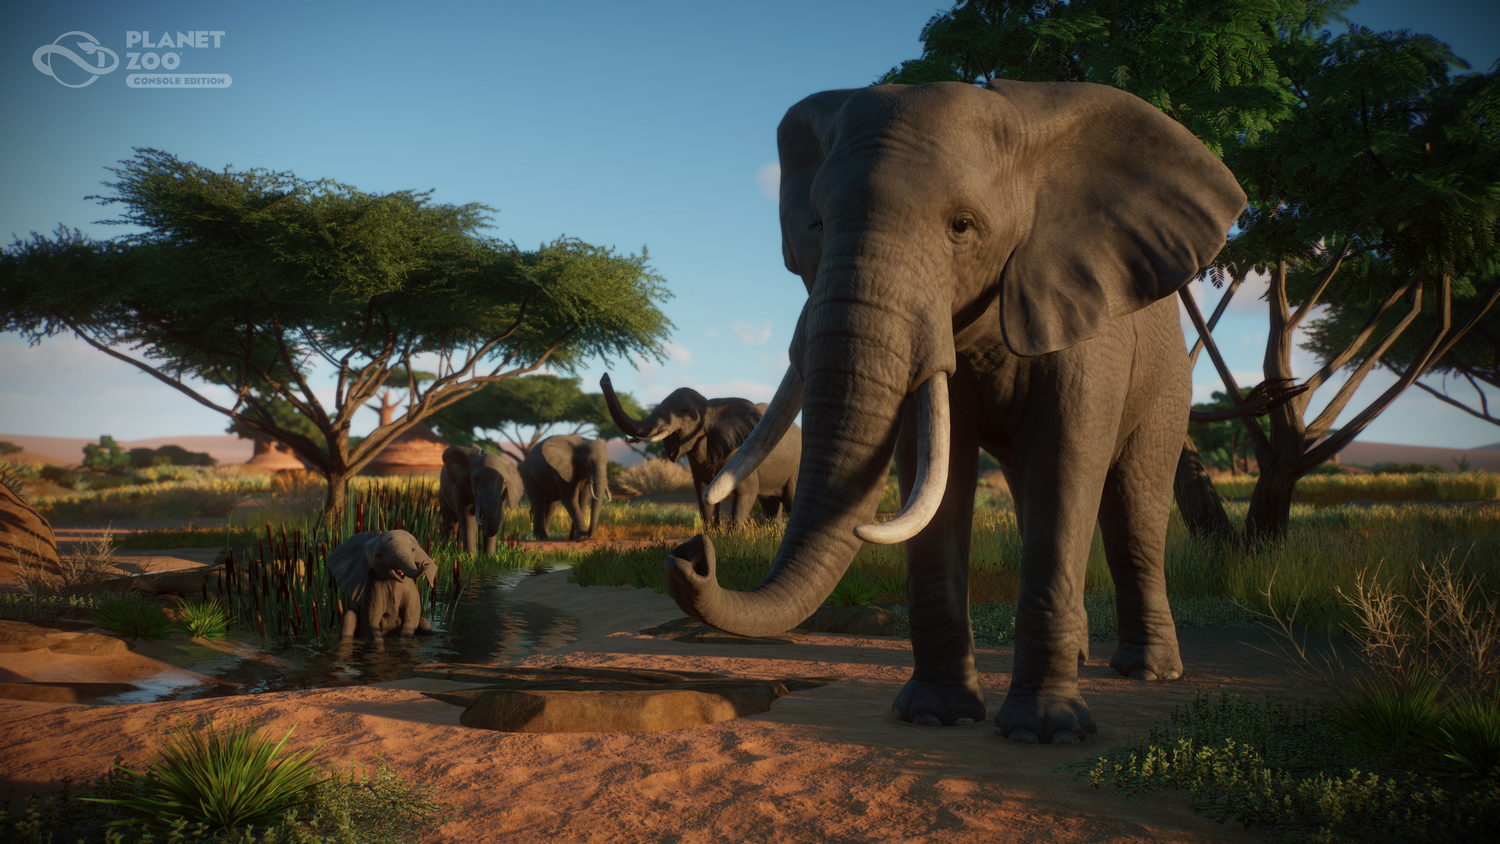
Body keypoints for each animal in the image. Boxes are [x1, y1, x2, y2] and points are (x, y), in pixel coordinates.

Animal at [599, 375, 801, 529]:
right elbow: (703, 494)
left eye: (685, 411)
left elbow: (746, 491)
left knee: (790, 499)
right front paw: (713, 537)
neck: (711, 407)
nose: (604, 378)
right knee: (771, 504)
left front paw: (731, 541)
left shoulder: (742, 452)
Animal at [664, 80, 1247, 744]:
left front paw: (1045, 732)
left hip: (1169, 378)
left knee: (1134, 508)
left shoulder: (1082, 328)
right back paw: (1080, 658)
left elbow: (1068, 462)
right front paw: (934, 715)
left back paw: (1147, 672)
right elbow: (934, 477)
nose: (692, 553)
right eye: (817, 223)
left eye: (963, 227)